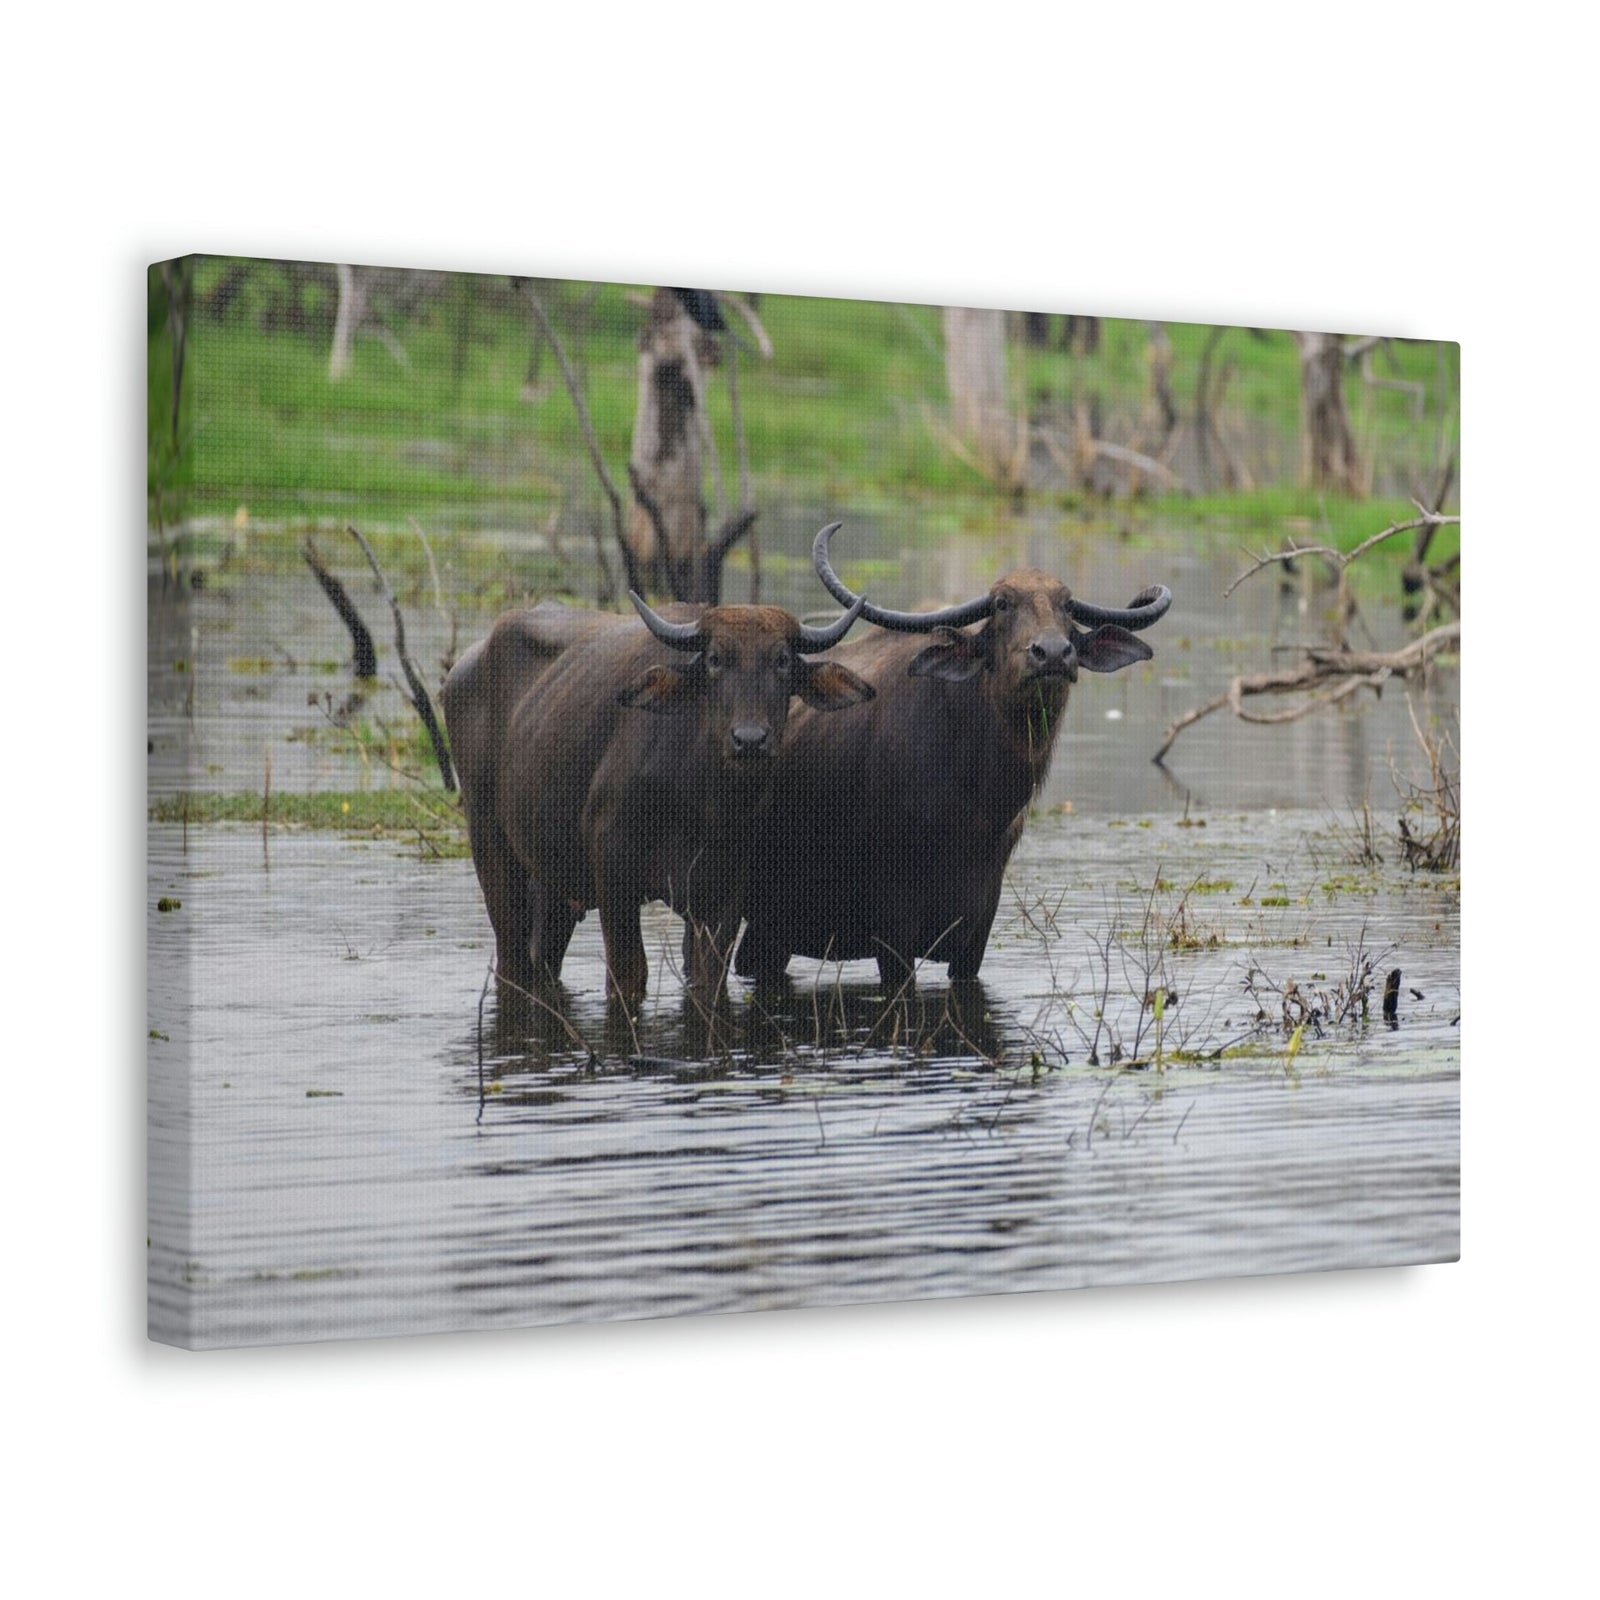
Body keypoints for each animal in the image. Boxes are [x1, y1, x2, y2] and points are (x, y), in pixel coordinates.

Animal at [442, 588, 874, 1008]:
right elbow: (630, 976)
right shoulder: (613, 877)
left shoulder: (723, 896)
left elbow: (708, 981)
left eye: (782, 659)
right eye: (715, 659)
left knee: (542, 955)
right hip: (488, 840)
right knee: (512, 958)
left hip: (553, 876)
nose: (750, 740)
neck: (704, 801)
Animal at [736, 524, 1171, 987]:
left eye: (1067, 605)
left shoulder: (977, 931)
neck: (973, 808)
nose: (1052, 653)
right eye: (1001, 604)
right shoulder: (893, 931)